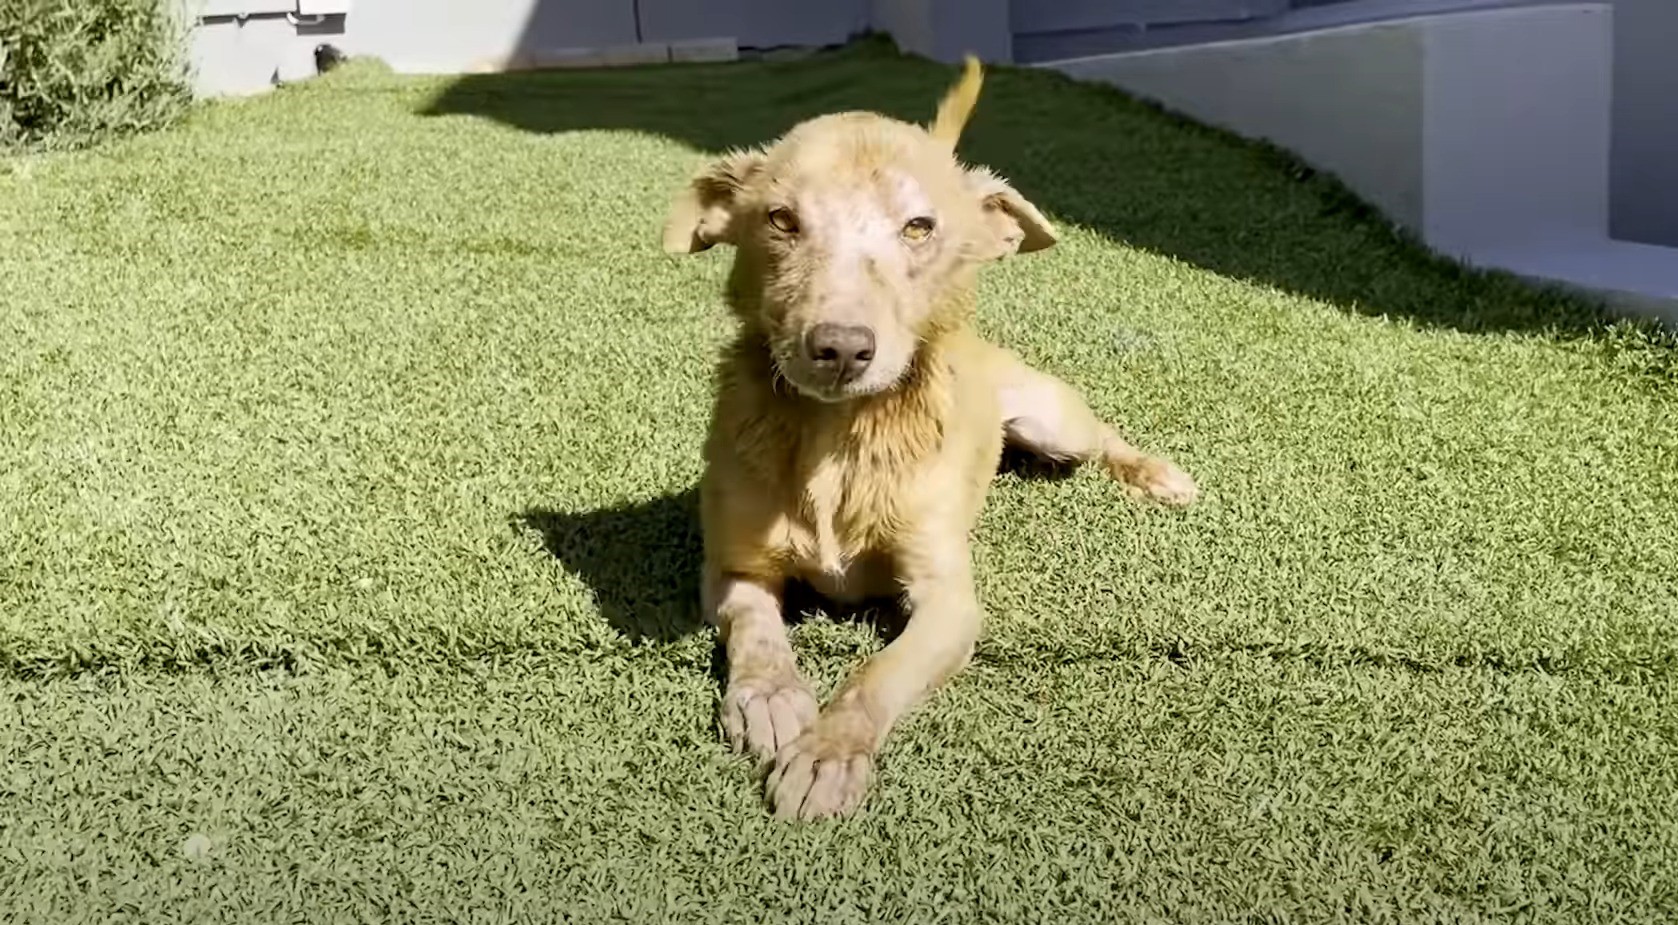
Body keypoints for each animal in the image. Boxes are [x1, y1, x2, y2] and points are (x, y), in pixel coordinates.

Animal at [661, 57, 1201, 822]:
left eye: (919, 227)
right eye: (781, 220)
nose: (840, 347)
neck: (838, 435)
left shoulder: (948, 601)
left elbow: (877, 673)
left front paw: (830, 752)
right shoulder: (733, 570)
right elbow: (757, 631)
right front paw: (770, 698)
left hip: (1055, 422)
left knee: (1102, 435)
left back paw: (1155, 474)